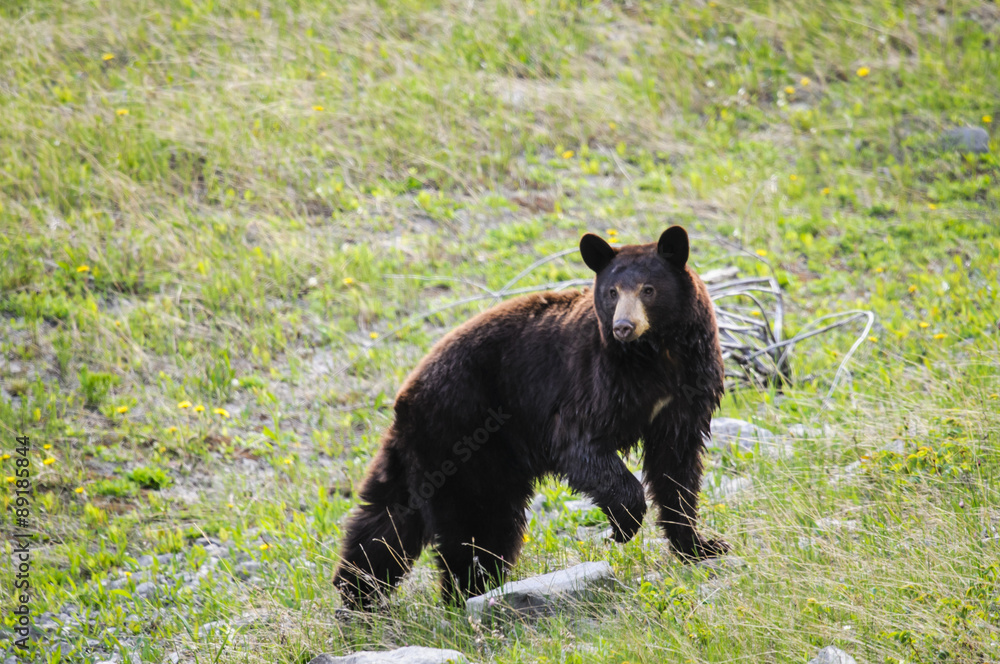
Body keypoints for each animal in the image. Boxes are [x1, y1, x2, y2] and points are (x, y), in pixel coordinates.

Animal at [333, 226, 729, 609]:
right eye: (612, 292)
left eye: (648, 289)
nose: (623, 326)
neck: (656, 356)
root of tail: (406, 395)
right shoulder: (595, 382)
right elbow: (580, 445)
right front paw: (623, 526)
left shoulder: (688, 389)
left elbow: (676, 468)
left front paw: (700, 545)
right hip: (461, 441)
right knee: (474, 526)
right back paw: (463, 594)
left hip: (435, 456)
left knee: (387, 521)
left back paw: (358, 595)